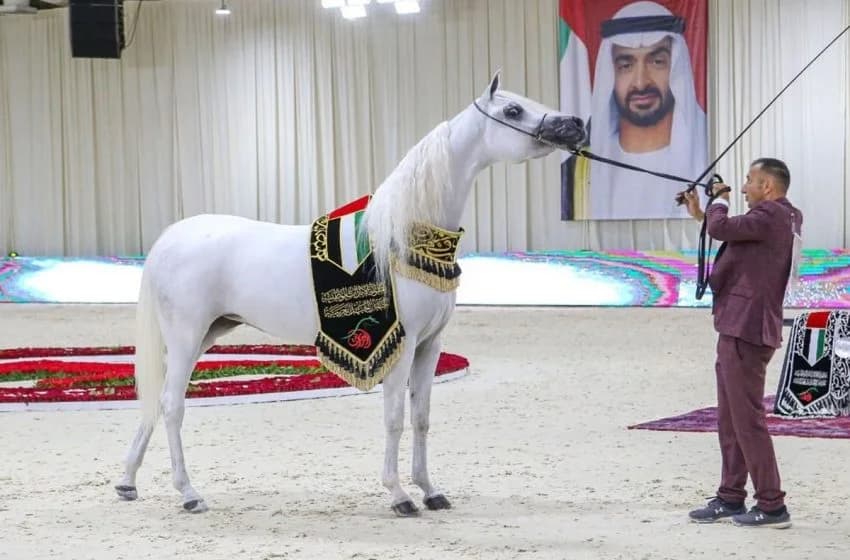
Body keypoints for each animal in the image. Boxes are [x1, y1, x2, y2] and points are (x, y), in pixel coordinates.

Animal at [114, 70, 585, 516]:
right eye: (513, 111)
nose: (576, 124)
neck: (403, 238)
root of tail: (170, 239)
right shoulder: (401, 343)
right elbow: (394, 418)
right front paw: (399, 495)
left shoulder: (430, 345)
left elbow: (421, 418)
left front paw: (431, 491)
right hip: (186, 334)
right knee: (172, 404)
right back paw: (189, 494)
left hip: (207, 333)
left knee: (156, 399)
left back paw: (127, 482)